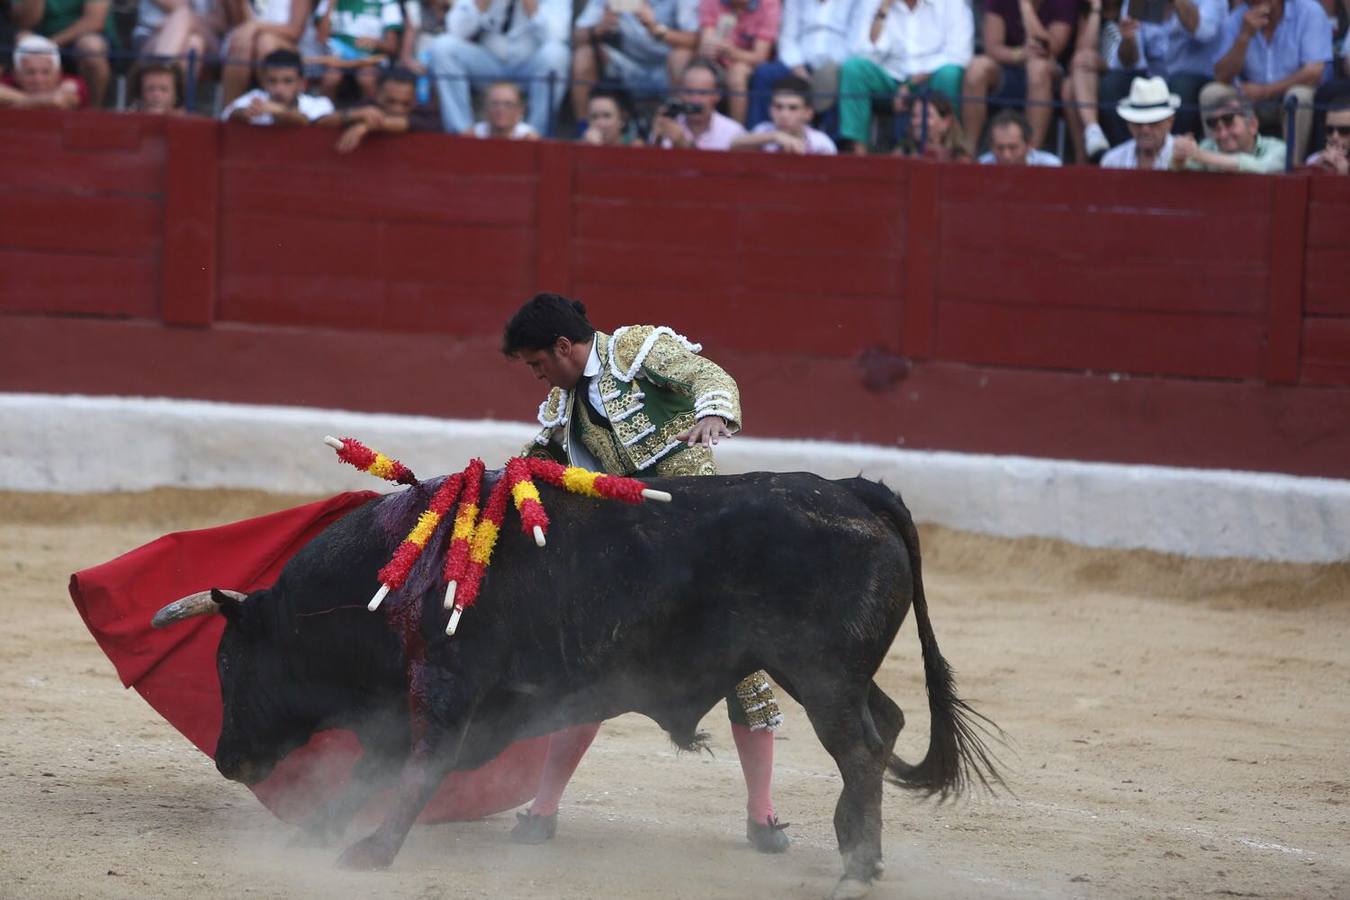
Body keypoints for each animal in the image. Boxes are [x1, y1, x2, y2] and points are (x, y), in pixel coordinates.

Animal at [155, 469, 1004, 895]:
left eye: (230, 663)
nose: (229, 758)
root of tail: (859, 489)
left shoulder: (443, 688)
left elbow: (416, 767)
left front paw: (367, 853)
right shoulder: (425, 703)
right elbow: (374, 767)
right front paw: (321, 831)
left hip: (820, 671)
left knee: (858, 749)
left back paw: (856, 869)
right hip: (835, 673)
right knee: (887, 726)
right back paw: (856, 850)